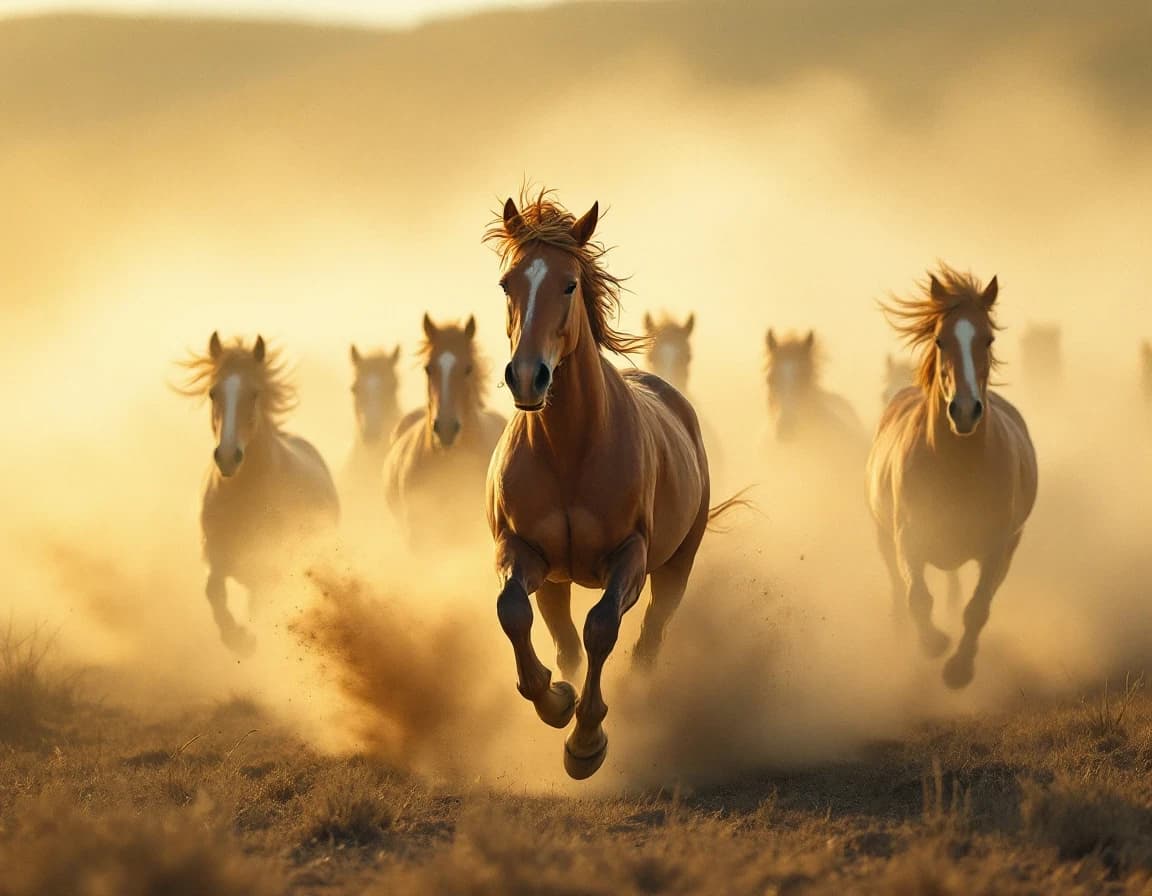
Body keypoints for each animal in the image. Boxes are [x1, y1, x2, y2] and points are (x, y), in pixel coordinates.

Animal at [180, 332, 340, 655]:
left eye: (254, 394)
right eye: (213, 393)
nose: (228, 457)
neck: (243, 496)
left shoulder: (270, 569)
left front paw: (245, 639)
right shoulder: (217, 557)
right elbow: (213, 591)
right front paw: (239, 639)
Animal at [484, 189, 740, 780]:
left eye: (569, 284)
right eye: (508, 284)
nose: (526, 377)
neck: (569, 450)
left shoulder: (631, 558)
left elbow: (602, 627)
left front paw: (586, 742)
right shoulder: (522, 550)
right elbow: (513, 612)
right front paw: (555, 700)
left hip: (676, 566)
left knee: (650, 635)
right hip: (556, 579)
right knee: (560, 636)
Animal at [868, 266, 1037, 689]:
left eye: (988, 338)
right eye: (940, 339)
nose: (963, 410)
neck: (956, 467)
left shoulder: (998, 547)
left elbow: (978, 607)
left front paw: (959, 670)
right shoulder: (908, 536)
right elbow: (916, 597)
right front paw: (933, 644)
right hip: (883, 535)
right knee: (897, 586)